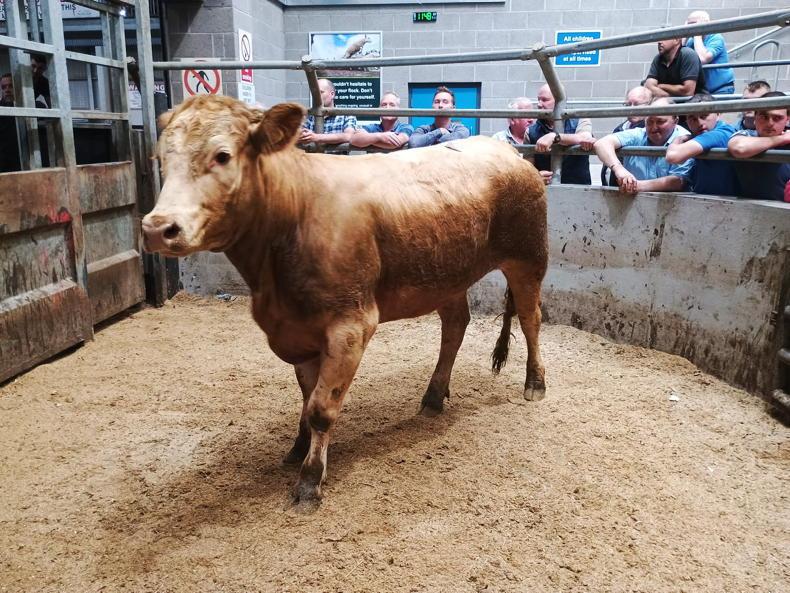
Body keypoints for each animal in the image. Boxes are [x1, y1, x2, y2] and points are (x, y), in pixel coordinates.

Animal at [142, 95, 548, 508]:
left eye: (222, 155)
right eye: (161, 155)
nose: (157, 229)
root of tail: (509, 153)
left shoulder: (351, 326)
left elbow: (322, 408)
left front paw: (310, 480)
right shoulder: (299, 331)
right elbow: (307, 400)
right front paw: (298, 447)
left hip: (528, 257)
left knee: (530, 318)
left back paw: (534, 383)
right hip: (447, 277)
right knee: (455, 327)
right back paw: (433, 397)